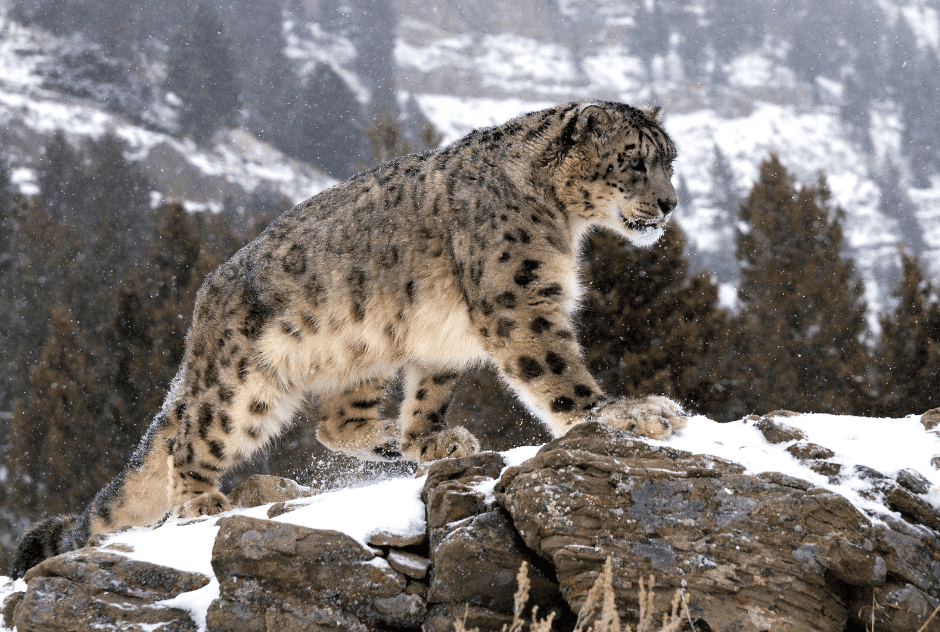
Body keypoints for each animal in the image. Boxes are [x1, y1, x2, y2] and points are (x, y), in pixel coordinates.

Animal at [10, 100, 685, 578]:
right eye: (633, 161)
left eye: (670, 160)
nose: (670, 203)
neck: (565, 224)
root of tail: (203, 305)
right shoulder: (518, 301)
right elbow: (558, 374)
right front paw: (627, 412)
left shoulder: (446, 338)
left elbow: (430, 391)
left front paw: (431, 439)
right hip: (241, 387)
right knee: (191, 436)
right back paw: (201, 501)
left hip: (363, 352)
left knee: (332, 423)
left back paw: (389, 439)